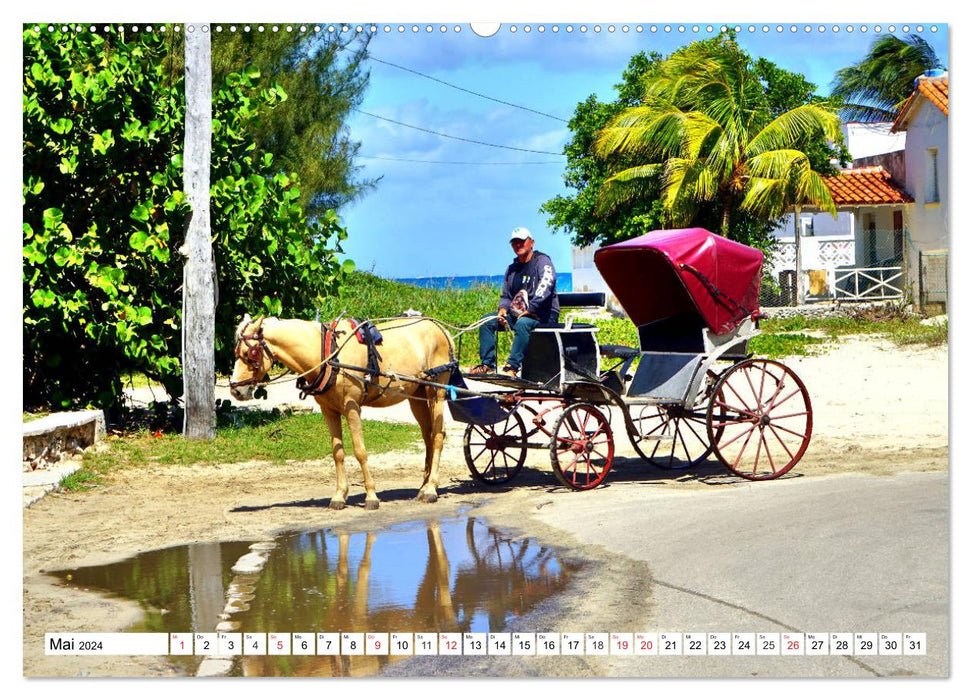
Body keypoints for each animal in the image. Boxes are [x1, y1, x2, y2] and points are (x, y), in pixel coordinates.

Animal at [231, 316, 456, 508]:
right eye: (236, 353)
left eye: (249, 354)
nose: (235, 390)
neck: (328, 355)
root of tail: (440, 328)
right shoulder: (328, 410)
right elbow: (337, 453)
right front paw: (339, 495)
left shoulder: (352, 407)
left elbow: (360, 451)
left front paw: (371, 496)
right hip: (417, 395)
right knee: (427, 436)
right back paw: (424, 486)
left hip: (437, 391)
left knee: (437, 435)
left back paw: (431, 489)